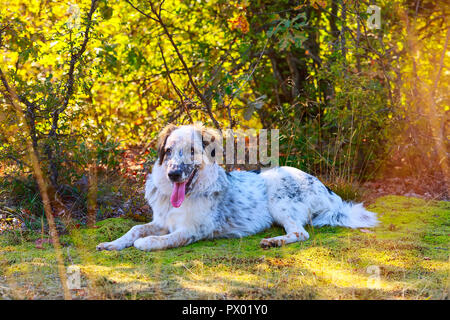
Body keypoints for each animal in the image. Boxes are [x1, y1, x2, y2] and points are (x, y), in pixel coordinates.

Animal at [96, 124, 378, 251]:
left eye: (192, 151)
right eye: (168, 151)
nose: (173, 174)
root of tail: (329, 191)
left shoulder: (193, 229)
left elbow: (159, 239)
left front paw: (145, 243)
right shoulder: (163, 220)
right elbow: (135, 229)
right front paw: (113, 243)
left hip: (278, 195)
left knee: (300, 233)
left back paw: (273, 241)